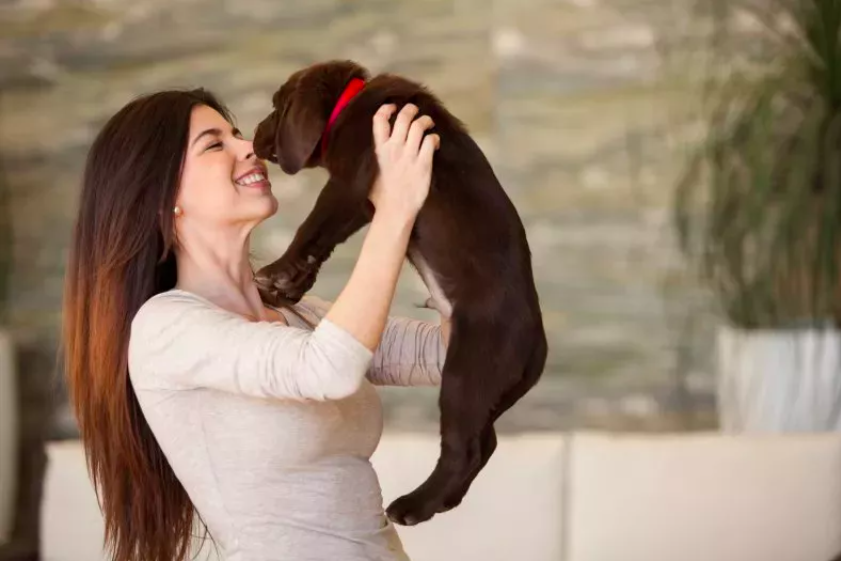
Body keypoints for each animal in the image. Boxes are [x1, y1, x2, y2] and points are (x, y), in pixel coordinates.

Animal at [253, 60, 548, 524]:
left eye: (276, 106)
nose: (252, 134)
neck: (351, 102)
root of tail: (538, 349)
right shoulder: (367, 200)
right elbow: (322, 240)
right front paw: (289, 285)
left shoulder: (351, 183)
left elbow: (312, 227)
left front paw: (277, 274)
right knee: (486, 443)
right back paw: (442, 501)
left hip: (467, 374)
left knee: (465, 448)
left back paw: (414, 505)